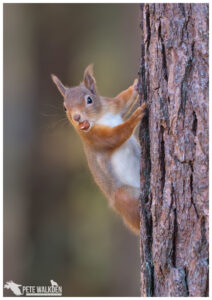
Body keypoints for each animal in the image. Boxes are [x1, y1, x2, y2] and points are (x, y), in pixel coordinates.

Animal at [52, 65, 147, 233]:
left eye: (89, 99)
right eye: (64, 108)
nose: (77, 118)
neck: (99, 118)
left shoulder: (112, 106)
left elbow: (123, 100)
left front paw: (136, 85)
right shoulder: (95, 138)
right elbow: (116, 135)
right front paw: (136, 116)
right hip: (124, 196)